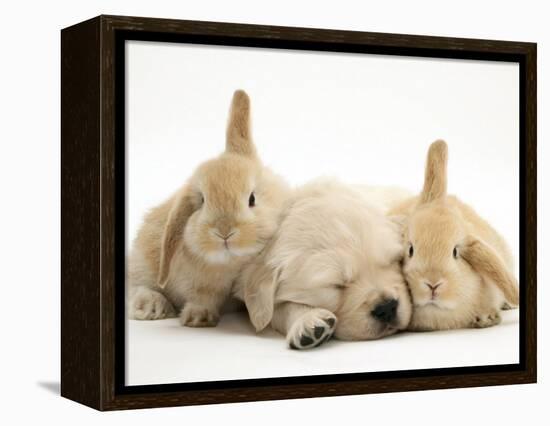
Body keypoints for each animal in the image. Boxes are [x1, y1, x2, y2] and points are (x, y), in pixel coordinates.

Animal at [128, 90, 294, 326]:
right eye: (203, 201)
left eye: (252, 198)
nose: (224, 232)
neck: (231, 265)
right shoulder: (200, 284)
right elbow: (203, 296)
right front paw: (198, 317)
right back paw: (150, 306)